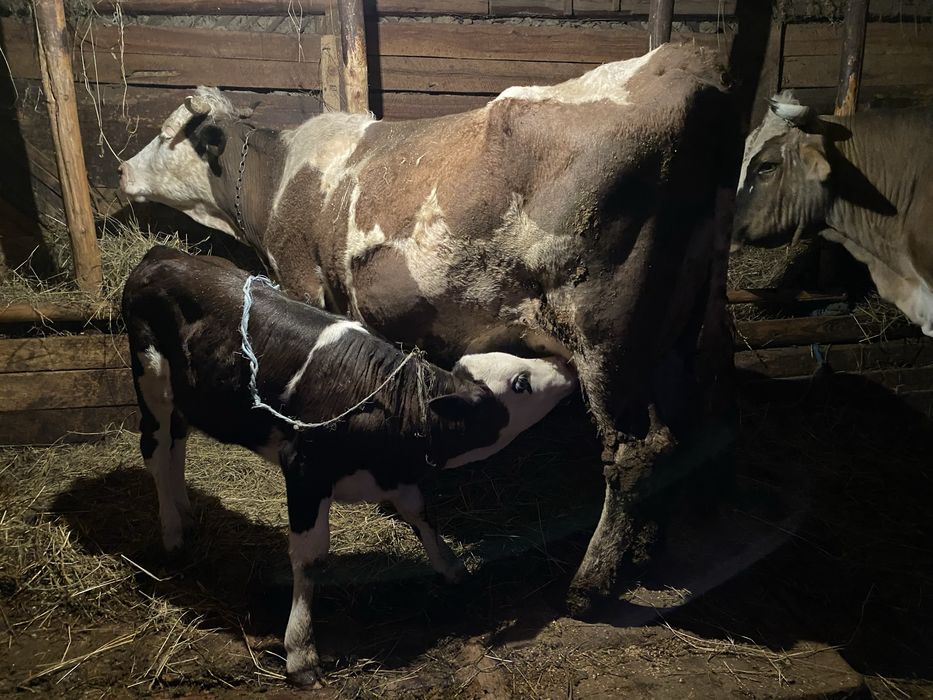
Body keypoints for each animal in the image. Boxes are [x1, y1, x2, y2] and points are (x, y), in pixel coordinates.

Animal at [119, 42, 740, 612]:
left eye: (166, 135)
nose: (123, 169)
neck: (279, 180)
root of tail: (687, 62)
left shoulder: (302, 280)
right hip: (671, 337)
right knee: (673, 436)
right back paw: (646, 552)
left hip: (603, 334)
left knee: (632, 451)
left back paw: (590, 582)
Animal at [122, 245, 577, 685]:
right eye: (521, 382)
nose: (568, 368)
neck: (399, 409)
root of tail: (160, 254)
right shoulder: (304, 470)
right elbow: (310, 558)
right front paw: (301, 652)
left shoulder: (398, 477)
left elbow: (421, 515)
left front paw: (451, 568)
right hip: (151, 379)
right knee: (156, 449)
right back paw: (172, 532)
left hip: (187, 395)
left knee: (177, 445)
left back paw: (185, 513)